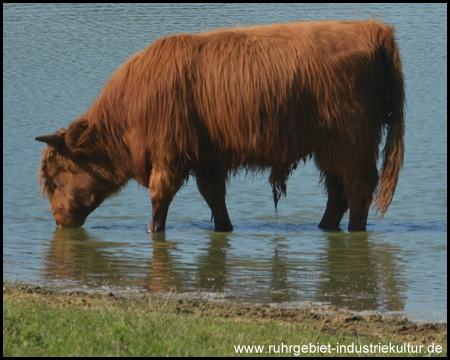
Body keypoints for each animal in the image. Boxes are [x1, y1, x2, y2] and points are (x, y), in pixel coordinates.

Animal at [37, 20, 406, 233]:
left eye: (54, 180)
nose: (59, 220)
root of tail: (372, 29)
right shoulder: (207, 156)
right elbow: (213, 196)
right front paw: (224, 229)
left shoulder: (168, 154)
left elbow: (160, 196)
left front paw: (153, 232)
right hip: (331, 147)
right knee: (337, 190)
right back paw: (325, 227)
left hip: (352, 140)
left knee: (358, 189)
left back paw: (354, 232)